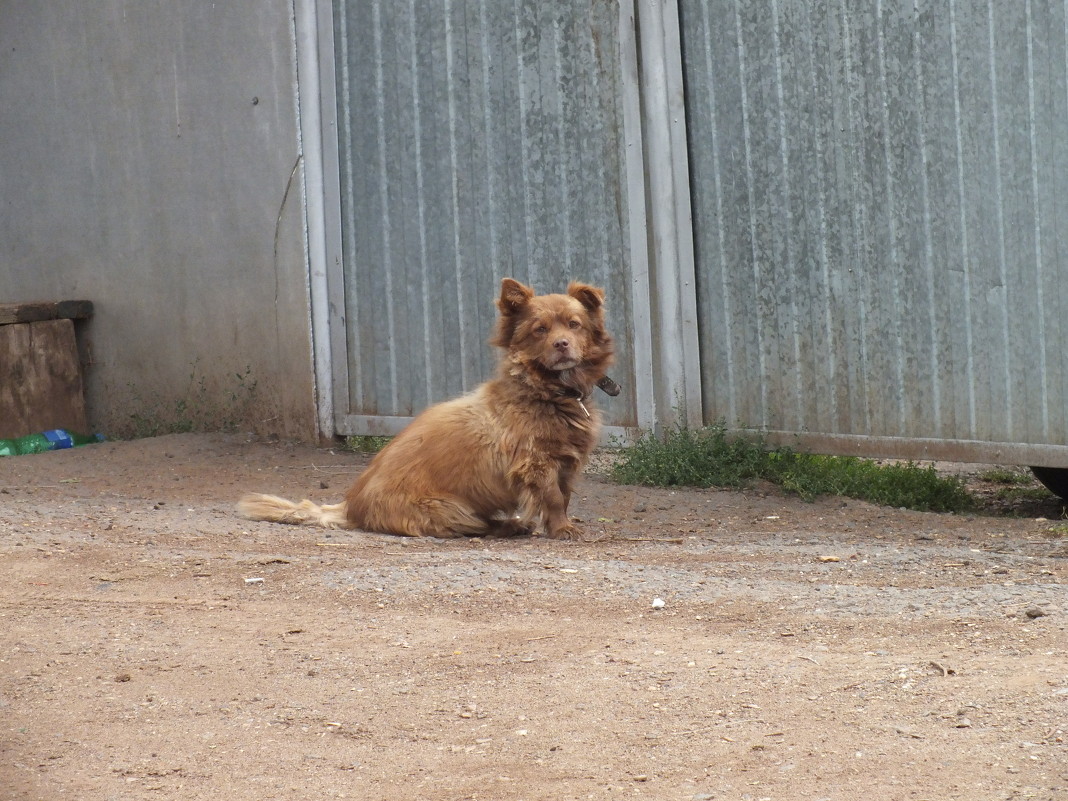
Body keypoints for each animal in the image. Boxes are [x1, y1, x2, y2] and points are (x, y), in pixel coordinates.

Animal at [237, 279, 615, 542]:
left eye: (574, 324)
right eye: (540, 330)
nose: (562, 344)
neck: (545, 391)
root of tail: (351, 506)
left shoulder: (565, 464)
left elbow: (564, 496)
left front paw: (560, 524)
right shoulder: (536, 463)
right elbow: (552, 498)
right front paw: (562, 530)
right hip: (450, 508)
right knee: (475, 526)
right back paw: (508, 527)